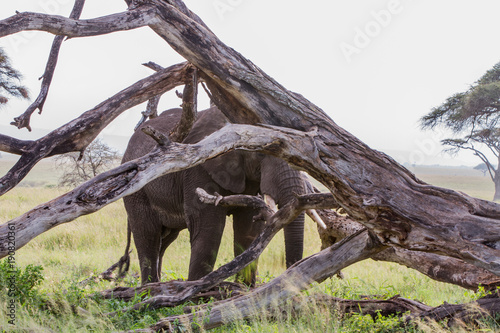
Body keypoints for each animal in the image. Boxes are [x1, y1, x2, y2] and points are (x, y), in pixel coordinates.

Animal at [120, 105, 304, 284]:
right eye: (260, 152)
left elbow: (248, 227)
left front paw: (243, 288)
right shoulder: (199, 169)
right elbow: (208, 227)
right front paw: (197, 289)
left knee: (164, 240)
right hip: (137, 191)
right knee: (148, 236)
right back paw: (149, 288)